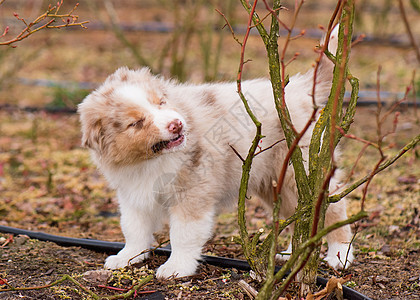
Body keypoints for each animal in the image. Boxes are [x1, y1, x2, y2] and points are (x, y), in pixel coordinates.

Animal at [77, 27, 352, 278]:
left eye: (161, 102)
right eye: (136, 123)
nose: (177, 124)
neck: (149, 160)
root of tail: (300, 88)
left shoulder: (192, 192)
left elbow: (183, 234)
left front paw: (176, 268)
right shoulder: (133, 192)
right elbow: (133, 227)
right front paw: (127, 257)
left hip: (299, 170)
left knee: (333, 209)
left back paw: (339, 255)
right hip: (276, 182)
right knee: (299, 214)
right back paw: (291, 253)